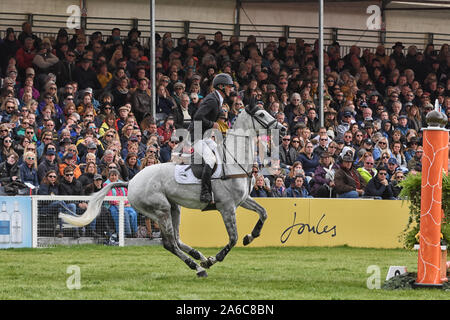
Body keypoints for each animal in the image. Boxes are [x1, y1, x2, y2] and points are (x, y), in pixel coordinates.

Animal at [59, 105, 284, 278]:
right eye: (262, 114)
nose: (282, 128)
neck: (234, 161)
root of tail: (131, 182)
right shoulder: (226, 206)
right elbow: (233, 238)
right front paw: (215, 258)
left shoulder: (243, 199)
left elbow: (264, 213)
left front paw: (251, 236)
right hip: (161, 210)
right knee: (170, 244)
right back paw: (199, 267)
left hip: (174, 208)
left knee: (176, 239)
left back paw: (199, 256)